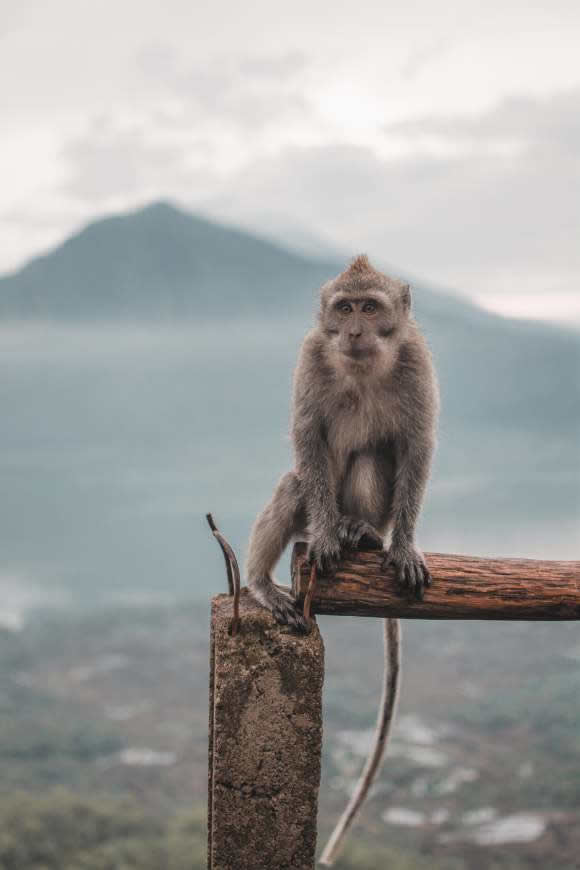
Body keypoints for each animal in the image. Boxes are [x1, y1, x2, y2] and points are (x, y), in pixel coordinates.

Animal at [245, 252, 440, 864]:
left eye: (370, 308)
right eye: (345, 307)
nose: (353, 330)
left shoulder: (416, 361)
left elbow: (416, 446)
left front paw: (404, 544)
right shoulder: (312, 354)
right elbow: (308, 436)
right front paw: (327, 537)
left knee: (375, 455)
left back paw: (363, 532)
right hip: (309, 508)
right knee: (296, 486)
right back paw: (268, 578)